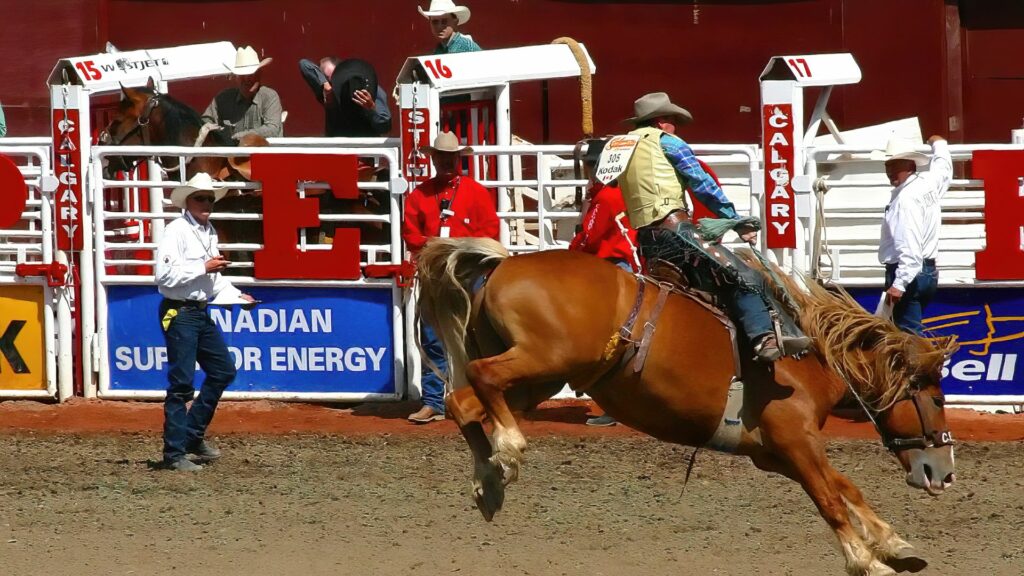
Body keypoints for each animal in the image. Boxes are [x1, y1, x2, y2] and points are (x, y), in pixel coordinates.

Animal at [413, 234, 958, 573]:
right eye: (935, 396)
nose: (944, 471)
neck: (810, 358)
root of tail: (504, 261)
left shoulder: (777, 454)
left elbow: (844, 487)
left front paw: (893, 542)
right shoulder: (795, 440)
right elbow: (828, 497)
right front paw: (867, 560)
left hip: (542, 377)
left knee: (464, 402)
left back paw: (490, 480)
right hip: (541, 361)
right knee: (481, 380)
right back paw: (509, 448)